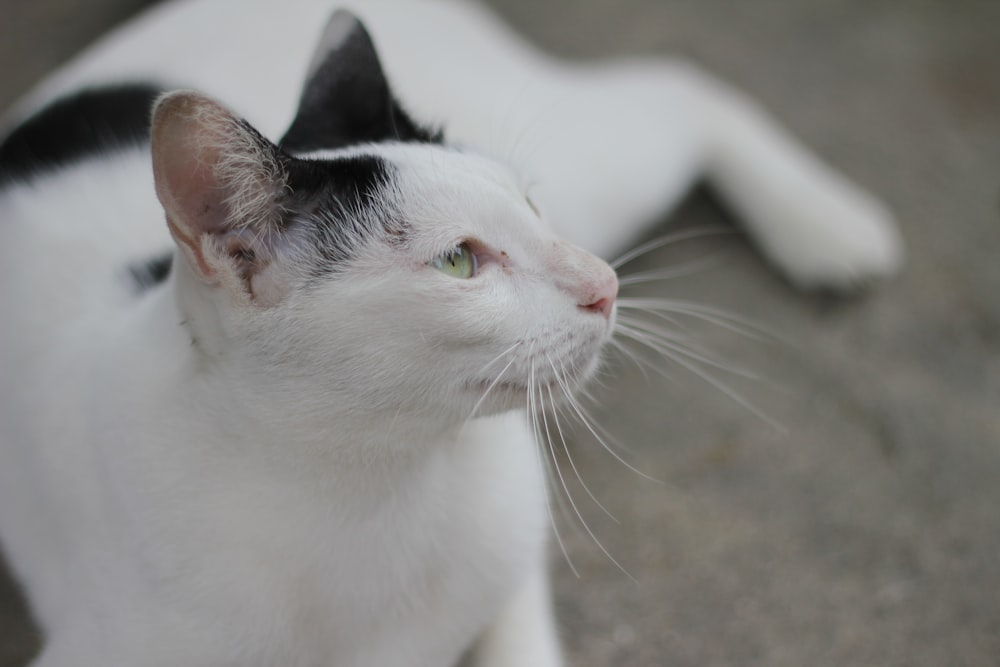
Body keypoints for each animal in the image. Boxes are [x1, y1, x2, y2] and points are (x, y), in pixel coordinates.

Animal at [0, 1, 904, 667]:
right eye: (460, 262)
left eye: (530, 204)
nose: (603, 285)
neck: (369, 486)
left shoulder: (512, 534)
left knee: (677, 82)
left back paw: (826, 225)